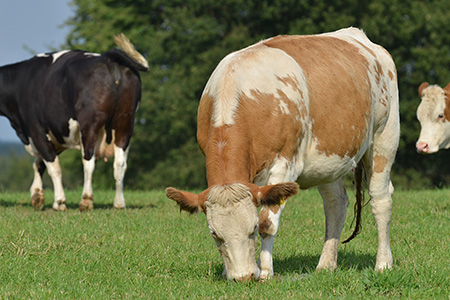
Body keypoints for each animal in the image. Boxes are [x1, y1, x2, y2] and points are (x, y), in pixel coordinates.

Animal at [0, 34, 149, 211]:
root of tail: (107, 57)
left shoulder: (37, 130)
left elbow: (53, 167)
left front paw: (59, 202)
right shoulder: (57, 134)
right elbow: (39, 164)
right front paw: (37, 196)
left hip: (90, 124)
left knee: (88, 161)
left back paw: (86, 200)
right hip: (125, 122)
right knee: (120, 163)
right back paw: (119, 203)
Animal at [166, 27, 400, 282]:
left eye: (252, 230)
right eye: (215, 234)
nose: (243, 277)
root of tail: (359, 36)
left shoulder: (284, 165)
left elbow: (268, 222)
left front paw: (265, 271)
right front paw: (227, 271)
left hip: (384, 137)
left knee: (381, 199)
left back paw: (383, 264)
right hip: (329, 160)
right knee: (336, 203)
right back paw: (325, 265)